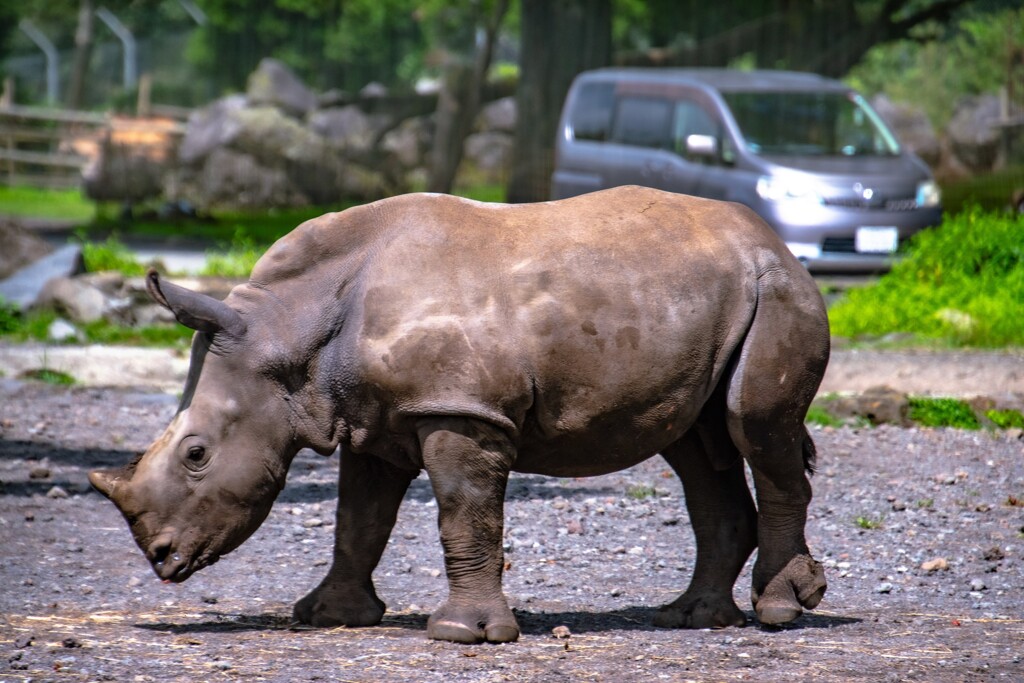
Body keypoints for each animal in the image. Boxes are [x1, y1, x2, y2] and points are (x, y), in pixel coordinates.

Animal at [89, 185, 830, 644]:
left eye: (196, 454)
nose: (159, 559)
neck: (288, 329)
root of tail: (779, 243)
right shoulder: (372, 418)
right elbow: (359, 519)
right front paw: (328, 617)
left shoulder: (461, 412)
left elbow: (464, 515)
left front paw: (463, 634)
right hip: (698, 298)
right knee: (697, 445)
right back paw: (690, 617)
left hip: (776, 291)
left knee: (754, 427)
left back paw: (780, 610)